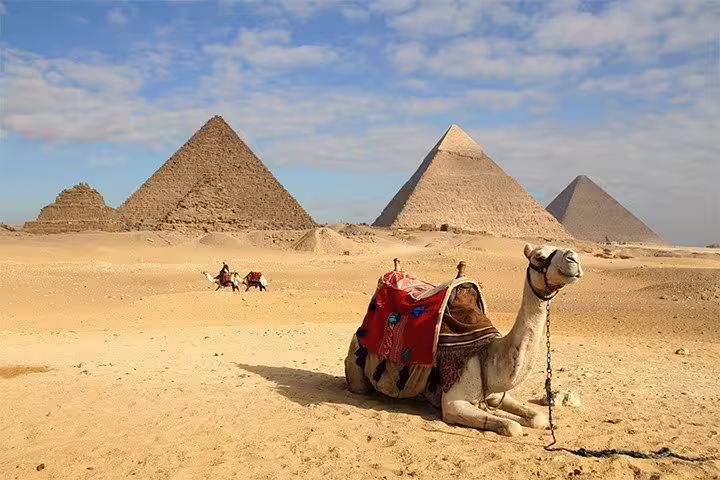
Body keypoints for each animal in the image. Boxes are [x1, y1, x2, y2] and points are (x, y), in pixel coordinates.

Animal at [344, 243, 583, 437]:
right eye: (539, 257)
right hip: (357, 361)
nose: (574, 258)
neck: (489, 354)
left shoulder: (494, 394)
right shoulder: (453, 404)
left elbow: (537, 418)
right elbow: (512, 426)